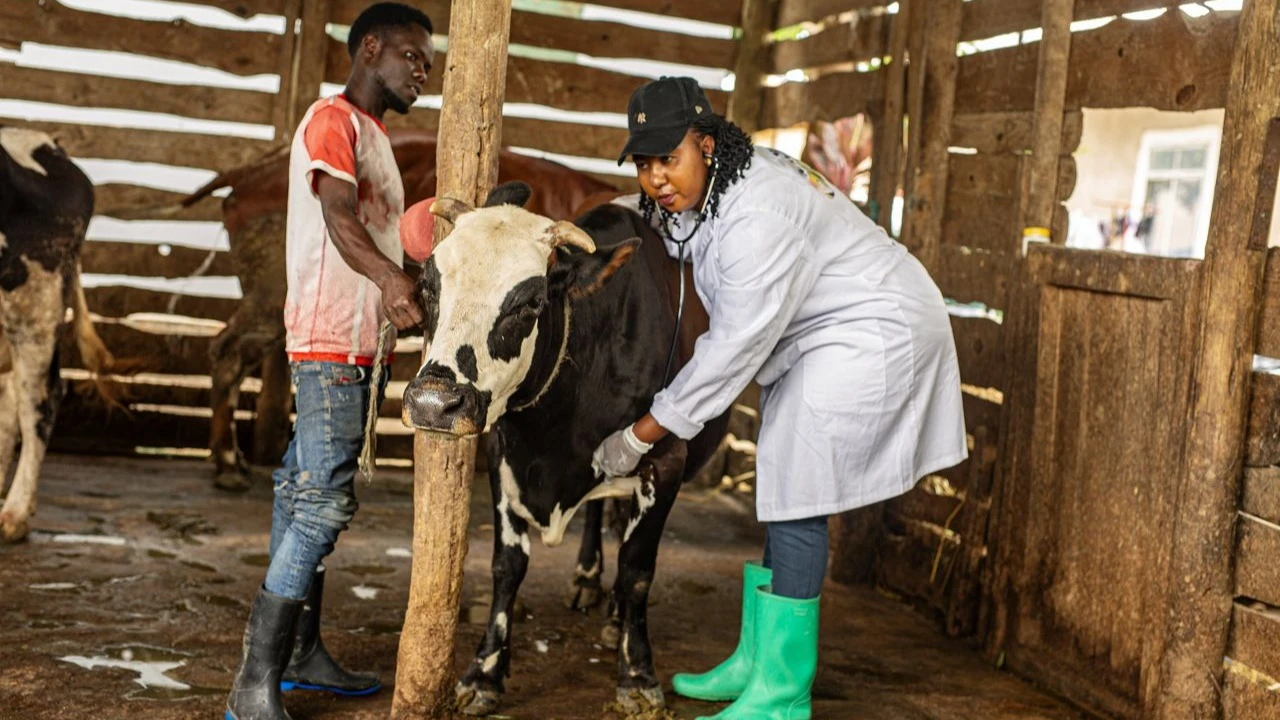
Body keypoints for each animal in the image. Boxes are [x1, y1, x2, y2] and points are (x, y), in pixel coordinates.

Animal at [175, 130, 619, 486]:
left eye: (531, 301)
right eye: (428, 284)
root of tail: (251, 170)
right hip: (269, 302)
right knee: (226, 351)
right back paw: (227, 462)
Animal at [401, 183, 721, 712]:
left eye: (530, 302)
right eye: (428, 286)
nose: (433, 402)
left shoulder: (665, 461)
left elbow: (637, 569)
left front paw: (637, 676)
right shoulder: (502, 453)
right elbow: (507, 565)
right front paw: (485, 671)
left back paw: (613, 616)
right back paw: (588, 579)